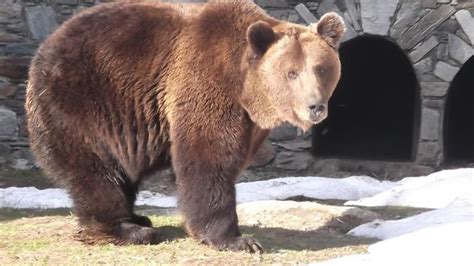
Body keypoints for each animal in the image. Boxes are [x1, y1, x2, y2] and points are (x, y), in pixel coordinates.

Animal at [25, 0, 344, 254]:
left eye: (321, 68)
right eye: (291, 72)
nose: (315, 106)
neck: (245, 88)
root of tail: (48, 43)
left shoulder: (249, 122)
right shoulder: (205, 84)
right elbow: (208, 159)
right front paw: (237, 240)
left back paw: (137, 218)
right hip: (83, 100)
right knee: (97, 170)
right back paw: (128, 229)